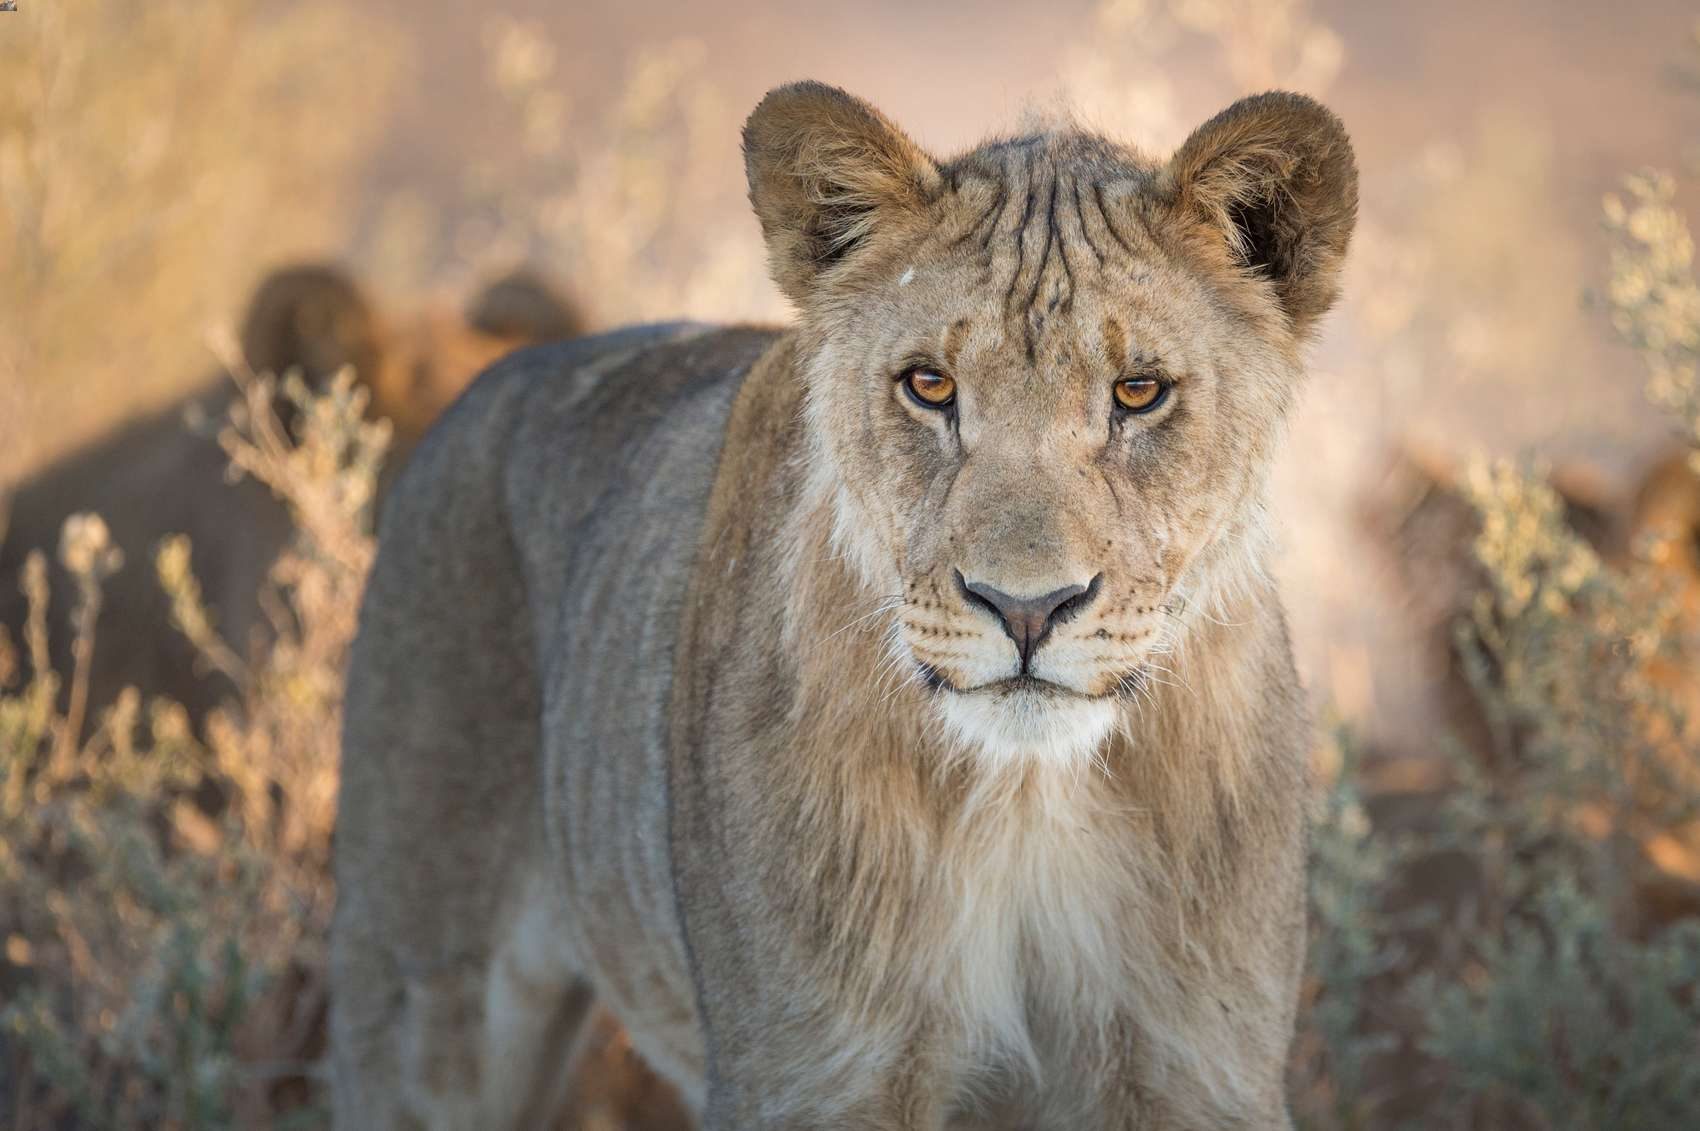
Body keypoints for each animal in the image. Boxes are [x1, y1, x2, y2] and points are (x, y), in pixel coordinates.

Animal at [331, 83, 1356, 1129]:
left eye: (1138, 392)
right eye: (930, 385)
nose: (1026, 608)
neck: (1030, 801)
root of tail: (485, 386)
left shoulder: (1198, 1067)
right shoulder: (812, 1071)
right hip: (421, 995)